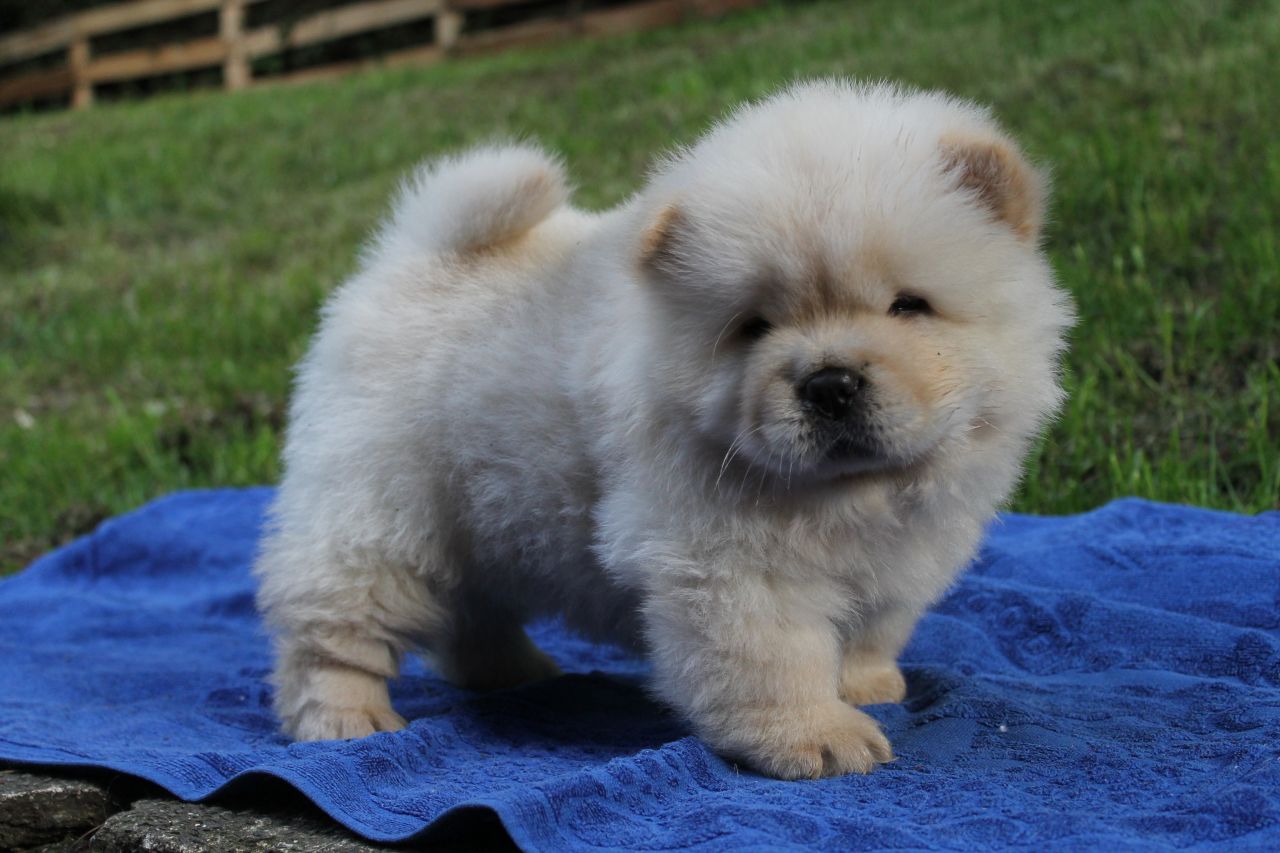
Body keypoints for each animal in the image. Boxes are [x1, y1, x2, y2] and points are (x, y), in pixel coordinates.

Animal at [254, 81, 1075, 778]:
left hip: (482, 518)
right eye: (754, 327)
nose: (829, 382)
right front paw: (817, 736)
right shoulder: (727, 559)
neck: (853, 494)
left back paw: (513, 672)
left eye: (909, 306)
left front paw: (868, 683)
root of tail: (411, 255)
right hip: (378, 514)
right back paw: (347, 720)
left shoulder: (906, 554)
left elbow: (875, 625)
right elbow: (773, 658)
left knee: (471, 614)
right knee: (333, 632)